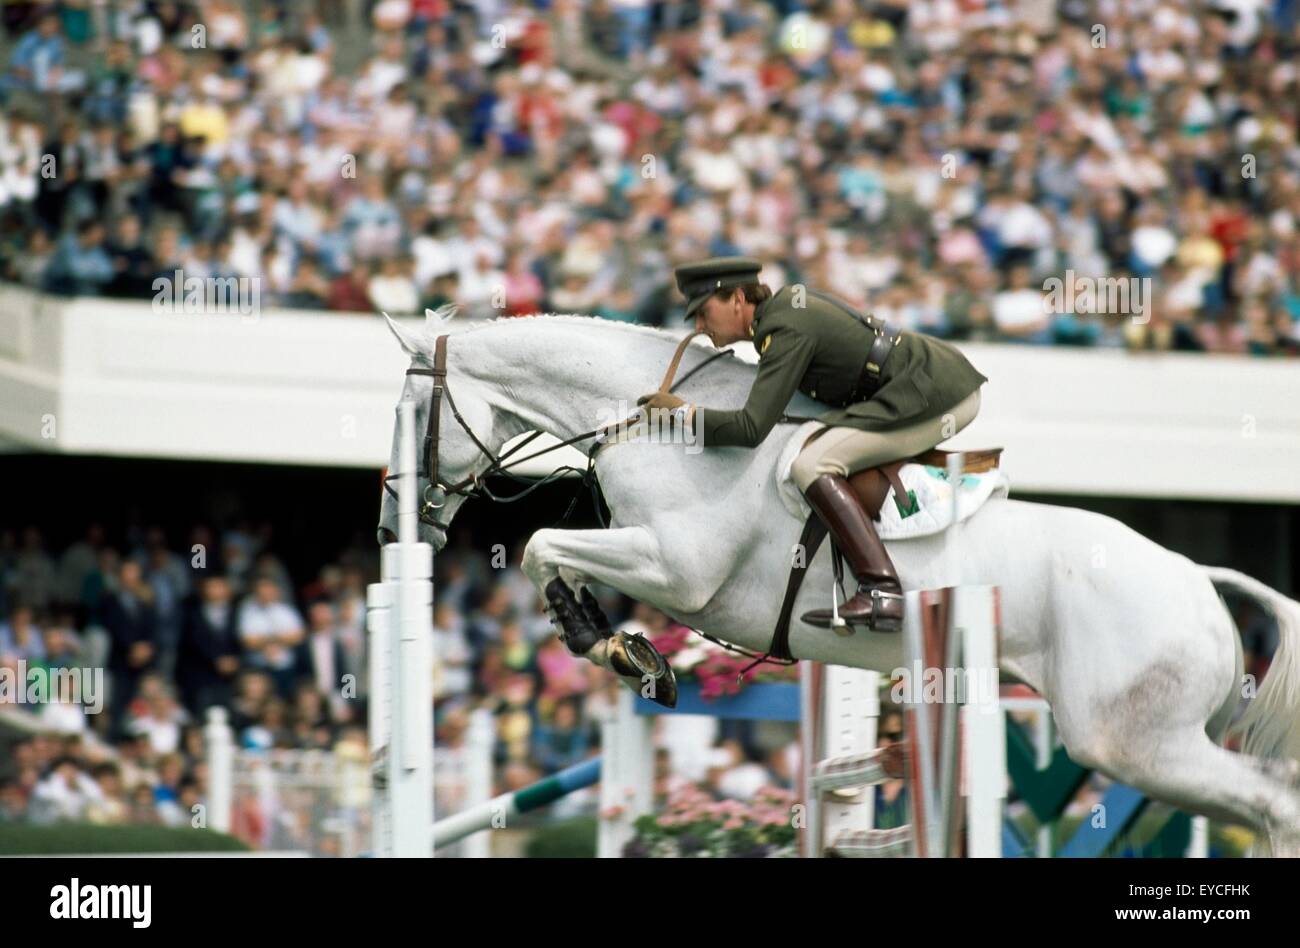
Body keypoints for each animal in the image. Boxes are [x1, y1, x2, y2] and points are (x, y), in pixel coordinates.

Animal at [377, 308, 1300, 855]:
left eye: (410, 416)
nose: (393, 530)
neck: (657, 423)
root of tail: (1198, 578)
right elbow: (551, 555)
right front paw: (625, 650)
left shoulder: (675, 565)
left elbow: (539, 545)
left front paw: (620, 648)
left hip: (1133, 741)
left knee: (1271, 805)